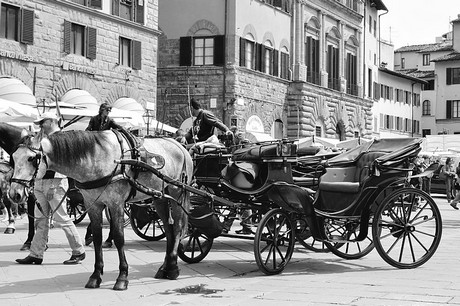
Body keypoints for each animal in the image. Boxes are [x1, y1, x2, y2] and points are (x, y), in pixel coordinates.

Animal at [9, 130, 192, 290]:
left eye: (32, 158)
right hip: (159, 197)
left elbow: (119, 238)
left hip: (177, 193)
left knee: (176, 228)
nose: (14, 194)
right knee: (168, 229)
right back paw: (164, 268)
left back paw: (173, 268)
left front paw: (122, 277)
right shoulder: (93, 204)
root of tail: (181, 146)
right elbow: (97, 238)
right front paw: (96, 276)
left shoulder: (116, 204)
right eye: (13, 159)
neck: (98, 158)